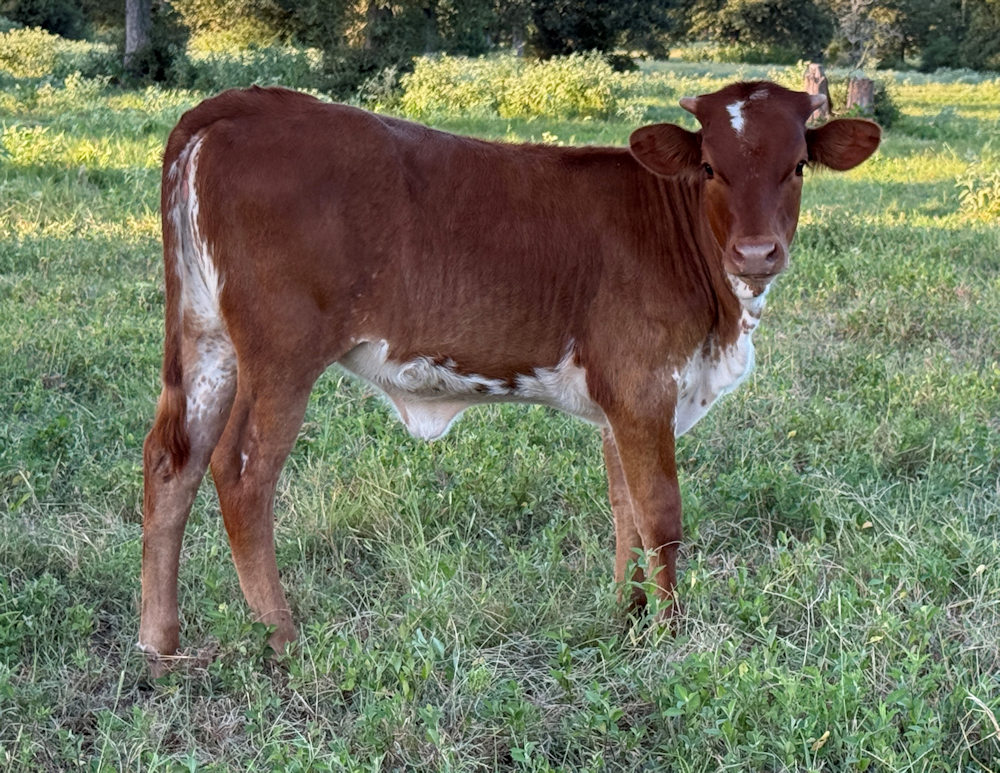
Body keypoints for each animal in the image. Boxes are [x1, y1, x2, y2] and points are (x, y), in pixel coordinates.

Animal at [138, 82, 880, 671]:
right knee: (241, 472)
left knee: (172, 461)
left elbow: (625, 511)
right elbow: (661, 514)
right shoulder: (646, 386)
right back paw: (282, 635)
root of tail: (245, 104)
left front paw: (627, 616)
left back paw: (159, 641)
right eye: (710, 168)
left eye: (797, 165)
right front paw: (670, 634)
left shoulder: (620, 399)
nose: (756, 253)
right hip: (282, 354)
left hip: (207, 341)